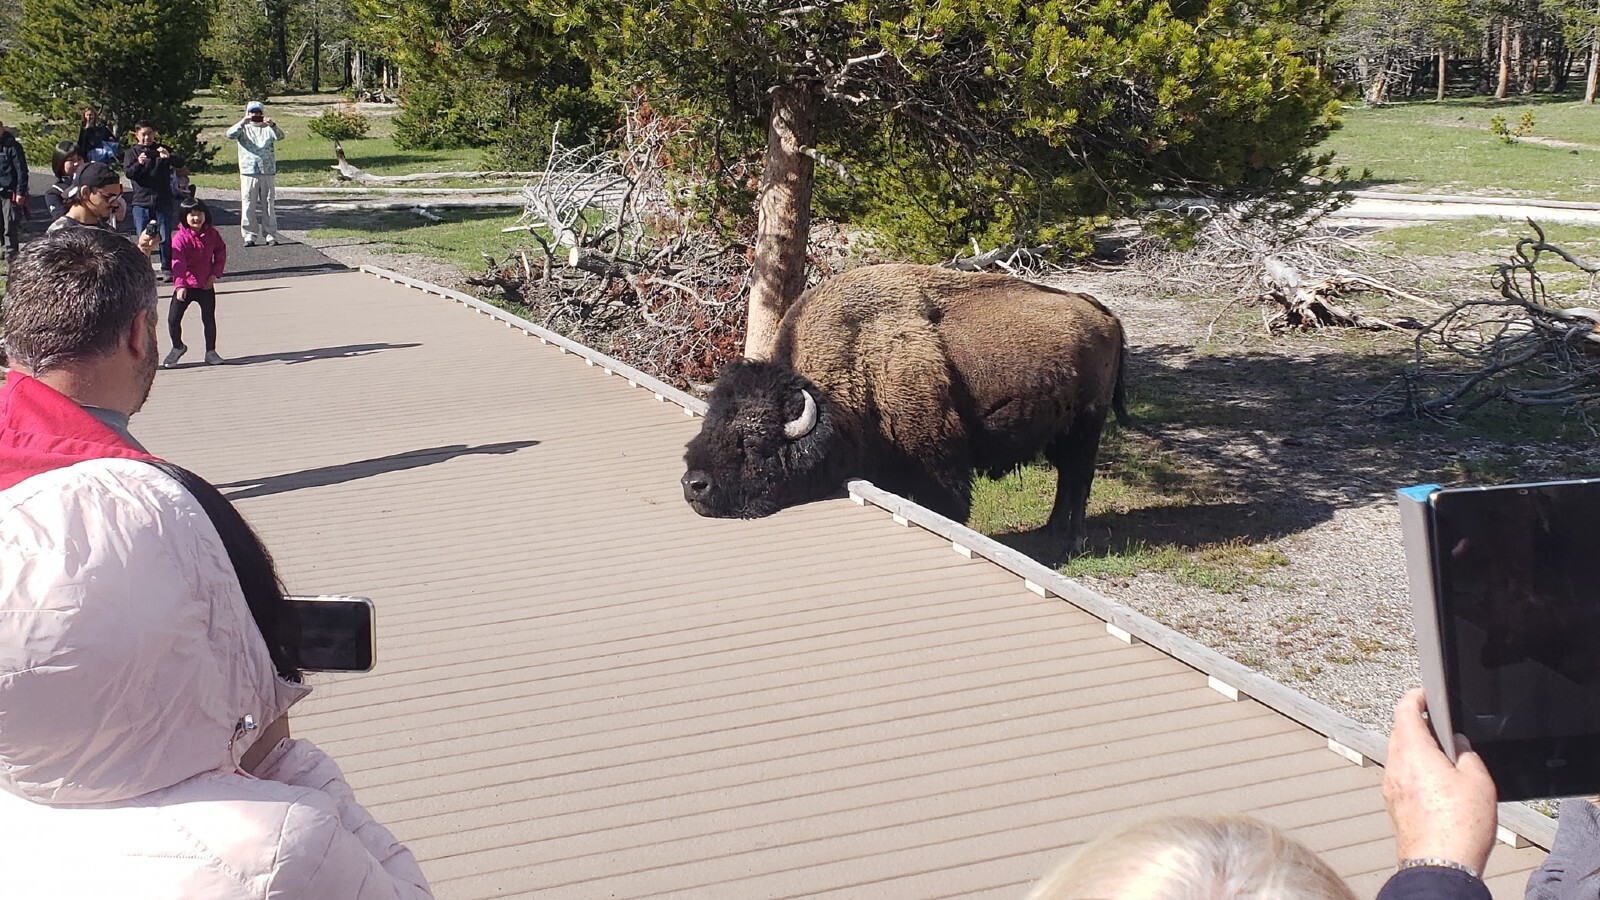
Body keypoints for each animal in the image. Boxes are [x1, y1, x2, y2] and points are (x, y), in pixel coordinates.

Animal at [681, 263, 1128, 552]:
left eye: (754, 442)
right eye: (707, 428)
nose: (693, 485)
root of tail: (1103, 312)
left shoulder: (939, 463)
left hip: (1088, 425)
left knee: (1079, 476)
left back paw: (1072, 539)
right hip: (1059, 431)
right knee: (1067, 476)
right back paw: (1050, 533)